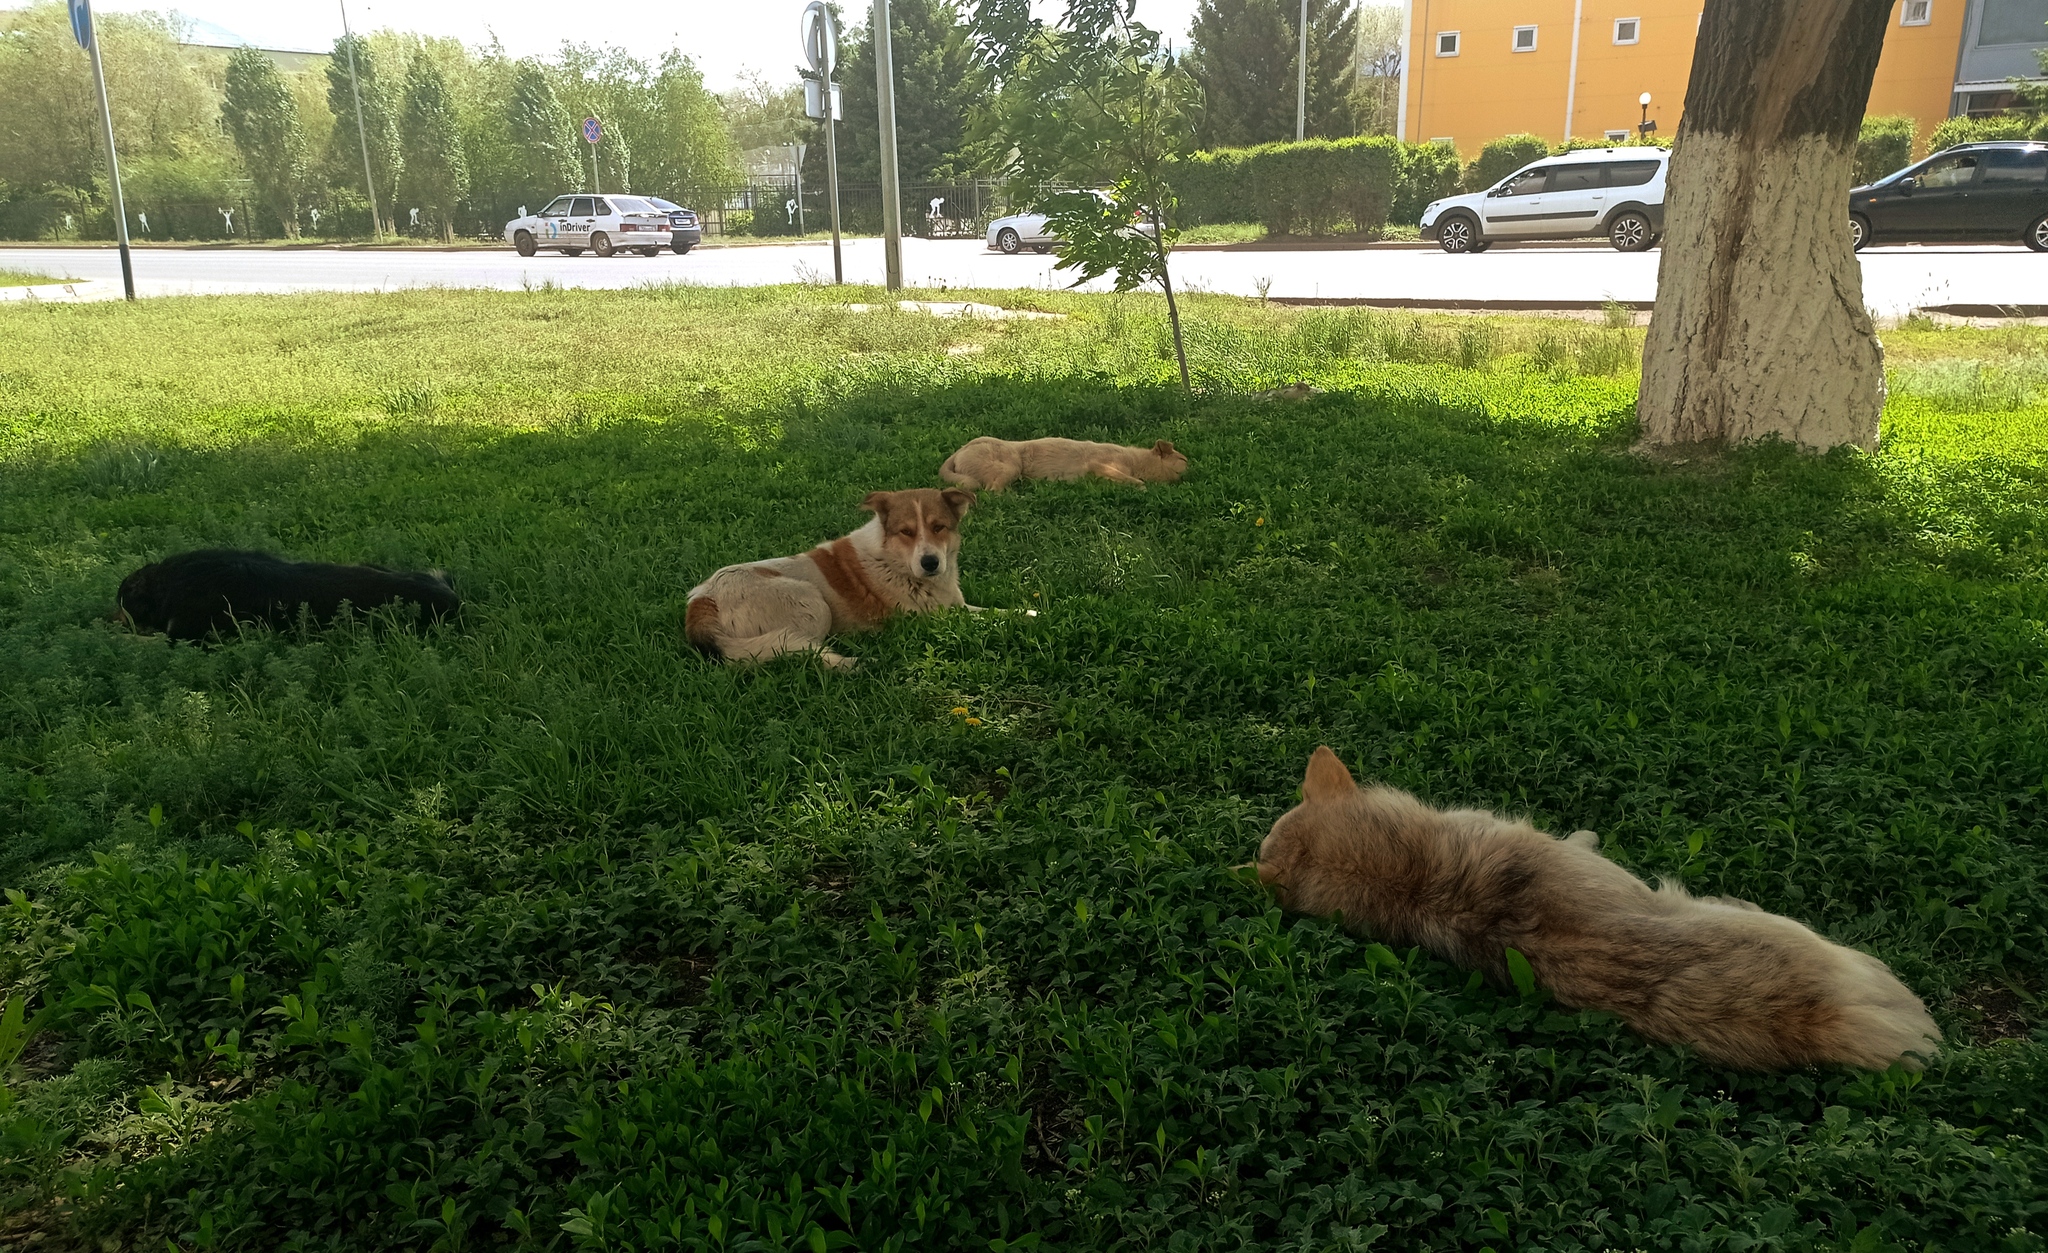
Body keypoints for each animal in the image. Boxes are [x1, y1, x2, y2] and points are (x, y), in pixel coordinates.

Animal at [684, 487, 978, 671]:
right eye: (906, 532)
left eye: (939, 527)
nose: (930, 563)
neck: (892, 560)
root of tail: (701, 601)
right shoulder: (932, 618)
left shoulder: (958, 606)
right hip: (813, 604)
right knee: (802, 651)